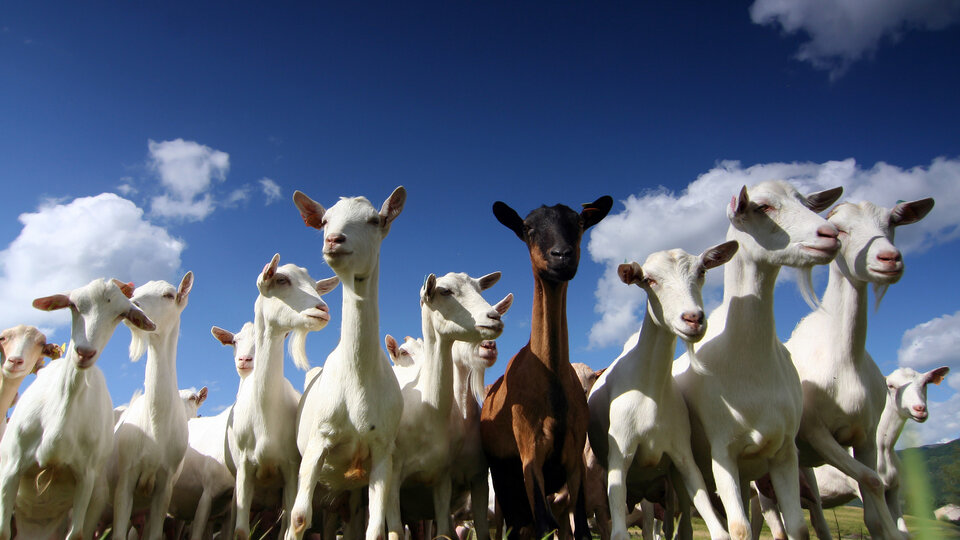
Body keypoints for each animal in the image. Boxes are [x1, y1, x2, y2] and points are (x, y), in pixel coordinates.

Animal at [0, 278, 155, 540]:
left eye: (121, 314)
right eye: (73, 305)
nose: (84, 352)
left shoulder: (86, 478)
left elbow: (77, 534)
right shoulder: (12, 468)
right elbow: (2, 530)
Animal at [290, 187, 406, 540]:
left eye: (374, 220)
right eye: (325, 220)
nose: (334, 240)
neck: (358, 378)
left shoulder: (381, 449)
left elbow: (376, 527)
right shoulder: (318, 441)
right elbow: (299, 518)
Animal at [481, 195, 612, 540]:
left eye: (579, 223)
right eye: (528, 228)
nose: (561, 255)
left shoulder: (573, 459)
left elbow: (581, 530)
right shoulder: (530, 454)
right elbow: (542, 525)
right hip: (505, 481)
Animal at [589, 242, 738, 540]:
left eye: (702, 271)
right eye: (649, 280)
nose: (693, 318)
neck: (650, 390)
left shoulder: (682, 455)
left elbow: (716, 526)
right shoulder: (620, 453)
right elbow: (619, 532)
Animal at [672, 181, 843, 540]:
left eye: (808, 203)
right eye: (762, 207)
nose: (830, 234)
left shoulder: (783, 452)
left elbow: (797, 527)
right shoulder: (722, 453)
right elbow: (738, 529)